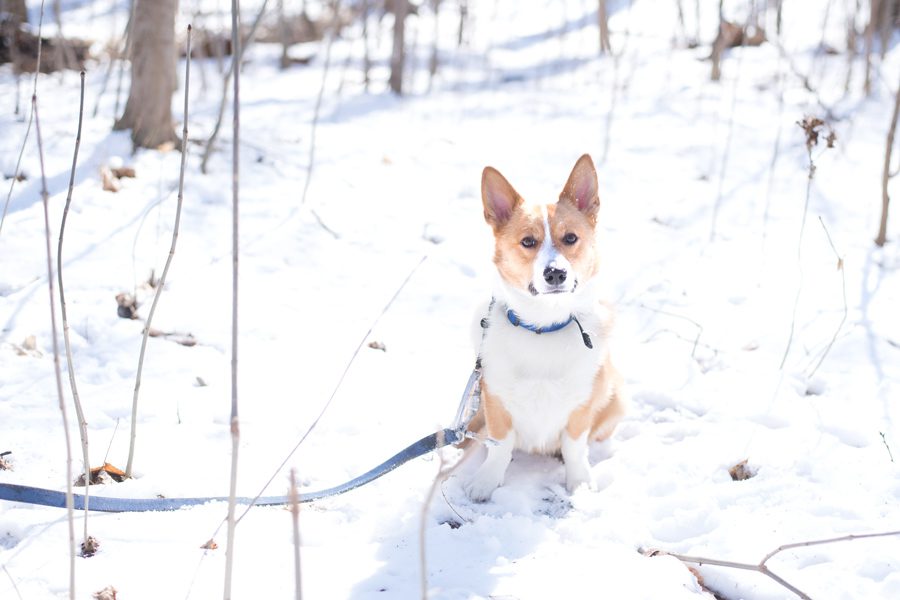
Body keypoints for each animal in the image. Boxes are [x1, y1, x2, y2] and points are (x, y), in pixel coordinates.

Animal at [464, 155, 624, 502]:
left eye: (571, 238)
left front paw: (579, 482)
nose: (555, 274)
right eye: (528, 242)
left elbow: (574, 445)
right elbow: (500, 444)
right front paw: (486, 481)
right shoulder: (494, 399)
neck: (543, 326)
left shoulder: (582, 403)